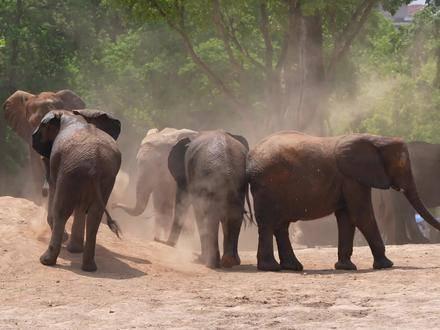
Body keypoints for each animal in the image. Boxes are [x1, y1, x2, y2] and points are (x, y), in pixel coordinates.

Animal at [32, 109, 122, 272]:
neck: (70, 114)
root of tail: (95, 162)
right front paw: (74, 249)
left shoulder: (57, 161)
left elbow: (55, 187)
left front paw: (67, 242)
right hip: (103, 177)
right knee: (94, 215)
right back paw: (88, 267)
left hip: (72, 170)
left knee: (62, 210)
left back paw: (46, 260)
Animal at [162, 130, 251, 270]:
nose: (167, 243)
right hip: (237, 183)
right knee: (234, 215)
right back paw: (228, 262)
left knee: (208, 216)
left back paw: (209, 262)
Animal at [248, 130, 440, 272]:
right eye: (401, 164)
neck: (376, 139)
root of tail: (251, 156)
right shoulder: (352, 178)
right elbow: (362, 215)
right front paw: (386, 265)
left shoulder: (349, 179)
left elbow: (346, 218)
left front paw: (345, 267)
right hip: (268, 185)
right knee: (269, 223)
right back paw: (271, 268)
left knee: (281, 225)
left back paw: (292, 267)